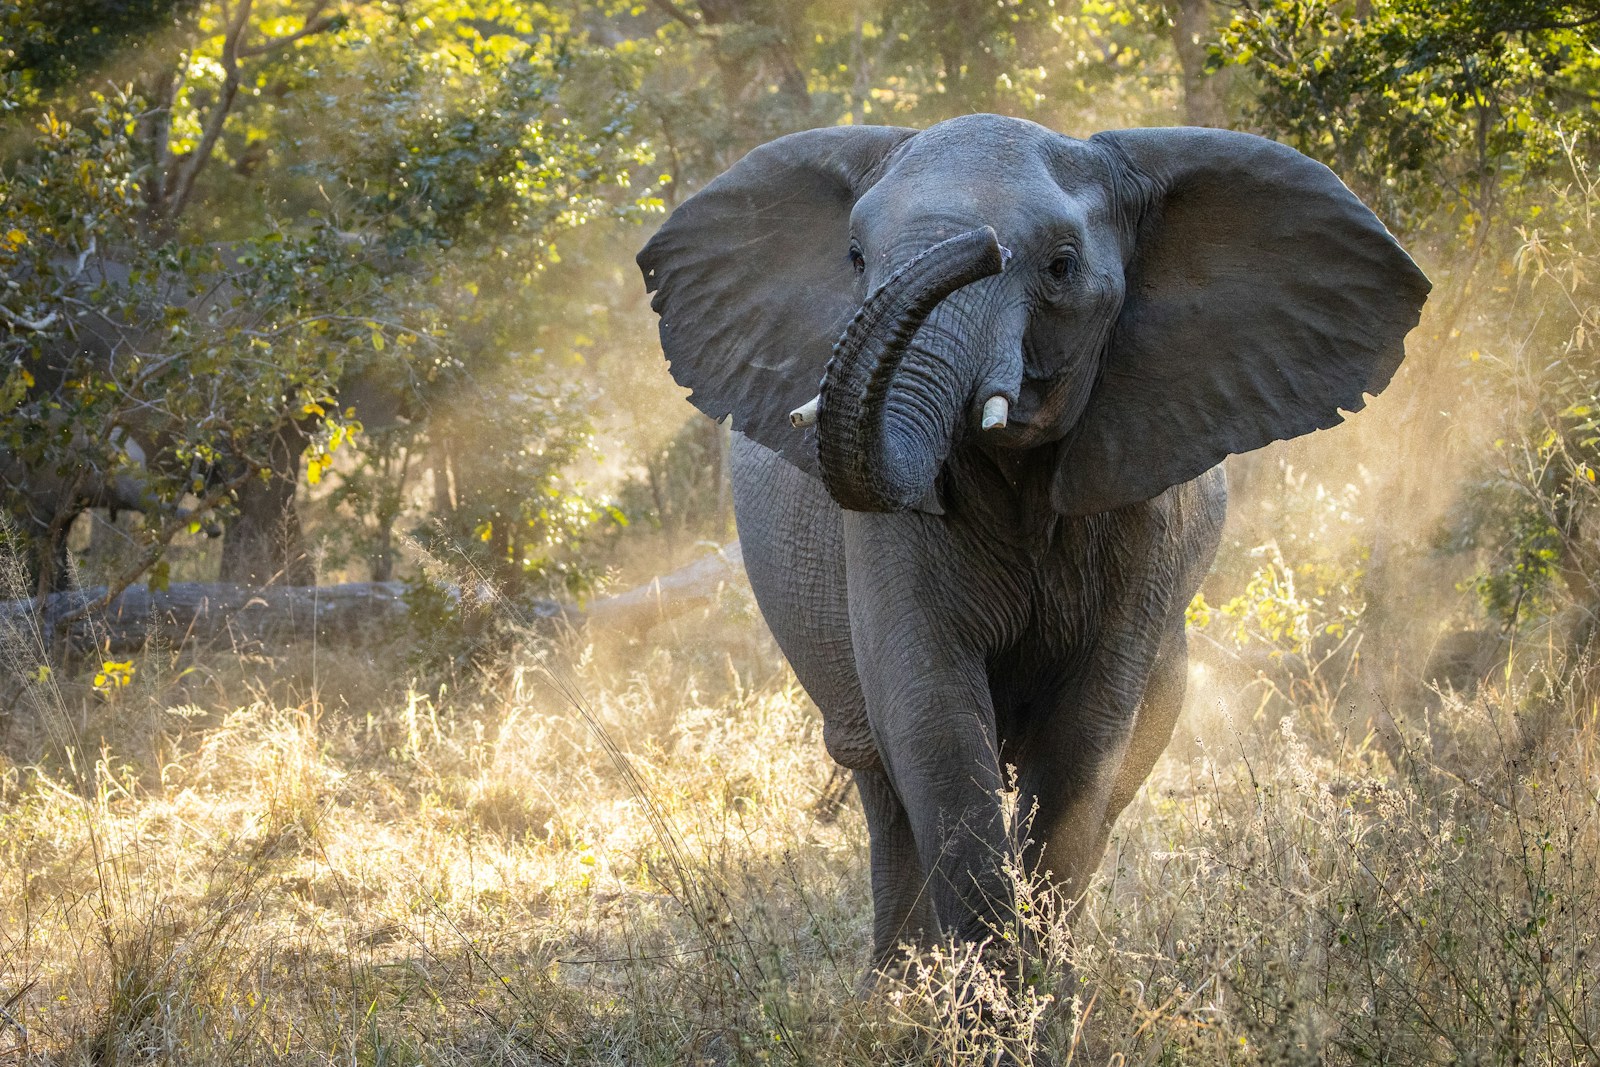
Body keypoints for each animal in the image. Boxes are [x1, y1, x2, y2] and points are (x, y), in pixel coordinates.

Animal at [637, 114, 1429, 974]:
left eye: (1059, 266)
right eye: (853, 257)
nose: (979, 246)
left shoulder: (1144, 510)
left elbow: (1084, 738)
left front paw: (1042, 997)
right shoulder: (889, 531)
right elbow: (933, 718)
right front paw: (987, 1001)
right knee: (880, 778)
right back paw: (900, 992)